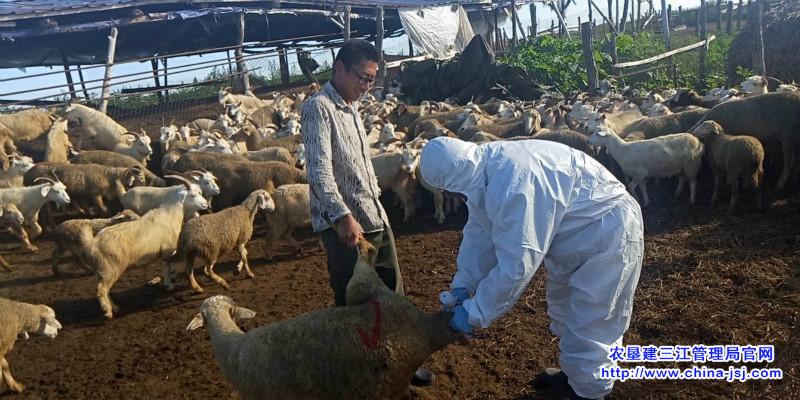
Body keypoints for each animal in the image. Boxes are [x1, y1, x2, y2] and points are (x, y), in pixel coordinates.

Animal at [85, 175, 208, 318]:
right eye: (193, 195)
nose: (206, 205)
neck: (172, 213)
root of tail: (94, 243)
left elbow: (167, 266)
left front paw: (170, 279)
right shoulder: (168, 250)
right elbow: (167, 266)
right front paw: (169, 284)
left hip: (101, 271)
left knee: (106, 289)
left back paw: (115, 307)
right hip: (110, 268)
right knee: (101, 289)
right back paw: (108, 312)